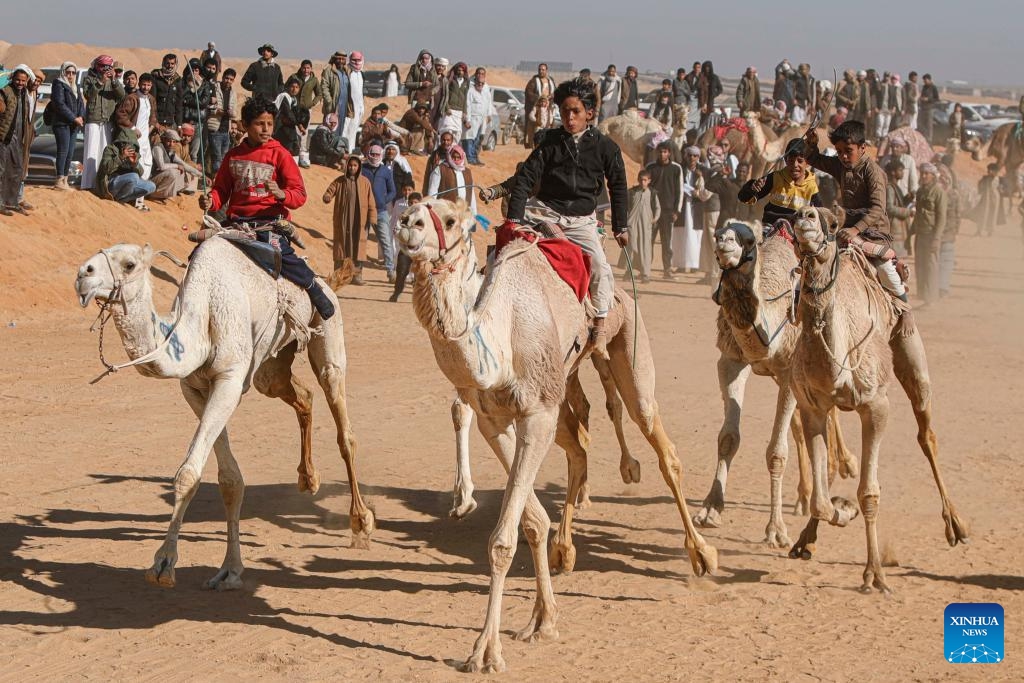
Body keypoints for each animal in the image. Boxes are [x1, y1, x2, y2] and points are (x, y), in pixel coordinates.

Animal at [74, 237, 376, 589]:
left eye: (129, 264)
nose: (82, 275)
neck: (199, 321)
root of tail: (326, 280)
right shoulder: (195, 389)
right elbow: (230, 479)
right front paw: (230, 569)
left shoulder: (229, 380)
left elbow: (189, 473)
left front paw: (164, 564)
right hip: (271, 367)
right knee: (301, 395)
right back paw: (308, 478)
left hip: (328, 329)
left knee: (343, 426)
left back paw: (361, 522)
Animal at [395, 198, 716, 671]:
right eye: (411, 205)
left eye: (449, 220)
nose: (406, 224)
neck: (501, 336)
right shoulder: (497, 421)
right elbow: (530, 520)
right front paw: (542, 620)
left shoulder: (537, 414)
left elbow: (502, 540)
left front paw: (485, 652)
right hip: (565, 383)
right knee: (579, 443)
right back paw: (565, 549)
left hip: (629, 349)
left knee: (659, 443)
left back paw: (702, 554)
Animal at [692, 222, 860, 548]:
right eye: (720, 231)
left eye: (747, 240)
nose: (723, 243)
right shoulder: (731, 361)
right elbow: (728, 438)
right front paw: (710, 509)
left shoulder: (789, 372)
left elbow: (777, 452)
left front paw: (776, 530)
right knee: (804, 423)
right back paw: (806, 496)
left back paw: (843, 466)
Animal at [786, 206, 962, 593]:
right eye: (798, 216)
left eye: (830, 223)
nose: (805, 216)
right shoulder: (812, 407)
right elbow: (821, 499)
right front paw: (841, 510)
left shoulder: (876, 406)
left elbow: (869, 492)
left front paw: (874, 574)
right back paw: (805, 540)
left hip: (910, 351)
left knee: (927, 434)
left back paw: (956, 526)